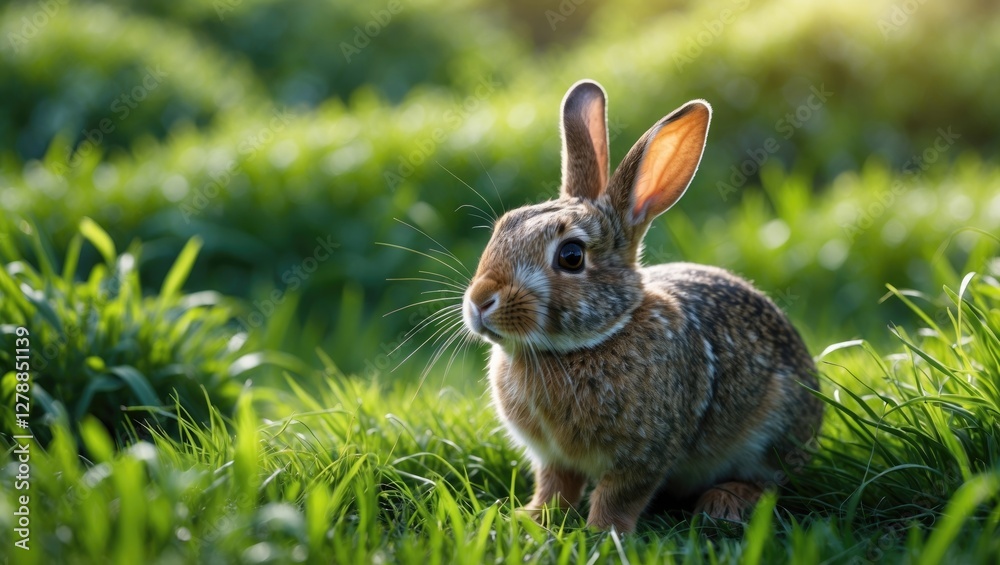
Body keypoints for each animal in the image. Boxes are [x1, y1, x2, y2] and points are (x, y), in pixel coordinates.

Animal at [461, 79, 822, 533]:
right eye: (502, 228)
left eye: (571, 256)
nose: (479, 301)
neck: (591, 341)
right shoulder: (553, 458)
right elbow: (554, 486)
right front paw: (530, 520)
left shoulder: (644, 455)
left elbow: (619, 495)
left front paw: (601, 533)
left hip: (772, 430)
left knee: (770, 481)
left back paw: (724, 503)